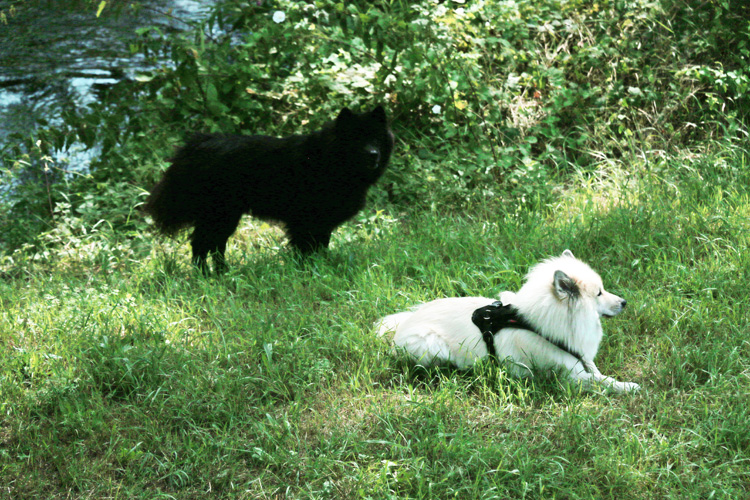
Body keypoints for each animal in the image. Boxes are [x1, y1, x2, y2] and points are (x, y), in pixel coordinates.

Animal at [143, 106, 396, 274]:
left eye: (376, 138)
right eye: (356, 139)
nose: (373, 154)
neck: (329, 161)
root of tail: (197, 145)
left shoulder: (322, 223)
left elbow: (320, 248)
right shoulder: (305, 222)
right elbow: (306, 250)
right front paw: (307, 271)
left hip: (225, 217)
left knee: (214, 246)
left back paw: (223, 274)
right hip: (220, 215)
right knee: (202, 245)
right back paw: (206, 276)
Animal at [376, 252, 640, 392]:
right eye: (599, 294)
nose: (625, 302)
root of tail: (402, 327)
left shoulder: (581, 358)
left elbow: (597, 371)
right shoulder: (569, 376)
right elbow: (600, 381)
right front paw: (628, 386)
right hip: (432, 346)